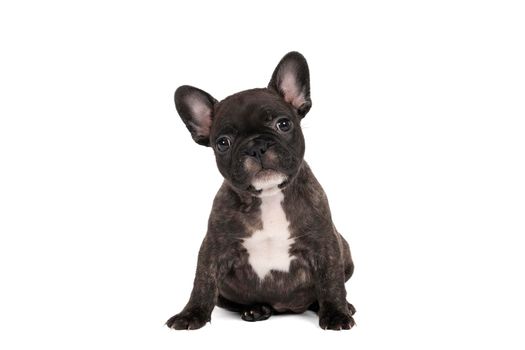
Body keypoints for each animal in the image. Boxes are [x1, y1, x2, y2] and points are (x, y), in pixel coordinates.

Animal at [167, 52, 356, 330]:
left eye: (283, 124)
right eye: (222, 143)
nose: (255, 147)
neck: (269, 196)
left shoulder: (325, 243)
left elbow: (331, 281)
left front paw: (336, 313)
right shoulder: (213, 247)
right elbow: (203, 282)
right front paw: (191, 314)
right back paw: (256, 310)